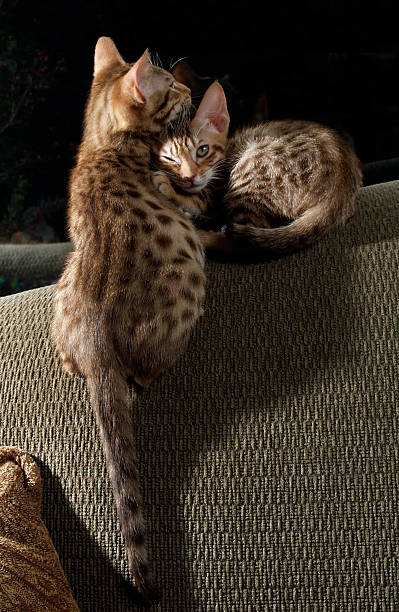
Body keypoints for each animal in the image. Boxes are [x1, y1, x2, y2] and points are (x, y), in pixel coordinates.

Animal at [51, 38, 206, 604]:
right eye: (170, 86)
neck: (102, 143)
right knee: (145, 372)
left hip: (63, 287)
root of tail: (93, 338)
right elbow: (189, 190)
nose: (187, 85)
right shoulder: (179, 185)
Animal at [152, 82, 362, 255]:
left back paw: (200, 234)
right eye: (170, 158)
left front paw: (170, 188)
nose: (189, 177)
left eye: (202, 150)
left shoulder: (217, 189)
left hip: (251, 172)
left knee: (242, 244)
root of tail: (339, 193)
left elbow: (200, 198)